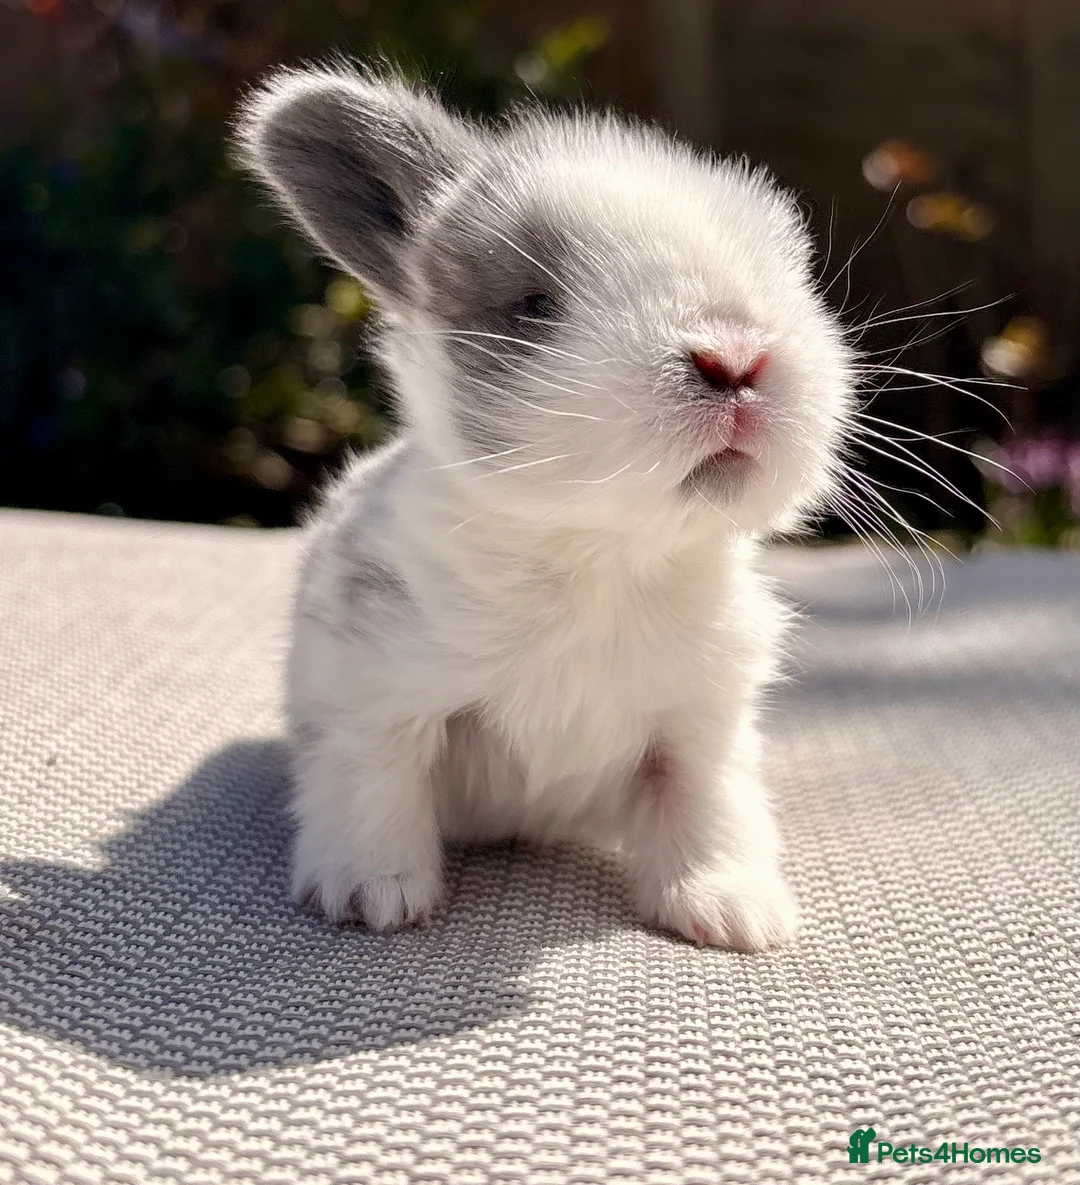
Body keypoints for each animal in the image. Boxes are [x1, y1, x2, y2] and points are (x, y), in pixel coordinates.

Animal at [234, 63, 854, 950]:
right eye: (533, 305)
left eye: (795, 280)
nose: (735, 357)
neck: (598, 561)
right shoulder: (375, 697)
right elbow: (374, 786)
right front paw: (372, 897)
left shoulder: (701, 726)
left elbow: (710, 807)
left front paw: (731, 910)